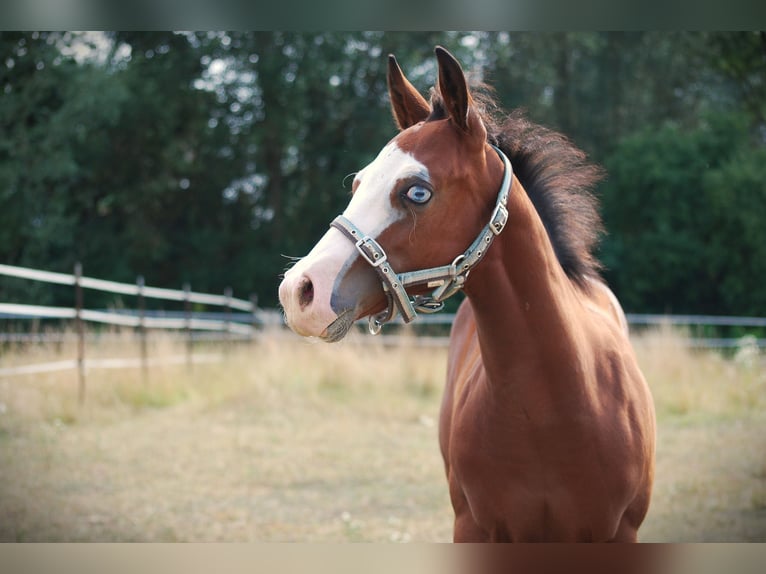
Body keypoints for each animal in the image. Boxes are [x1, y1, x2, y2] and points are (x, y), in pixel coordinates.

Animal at [278, 46, 656, 542]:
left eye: (417, 191)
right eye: (358, 185)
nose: (299, 292)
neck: (554, 407)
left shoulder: (618, 532)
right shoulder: (473, 526)